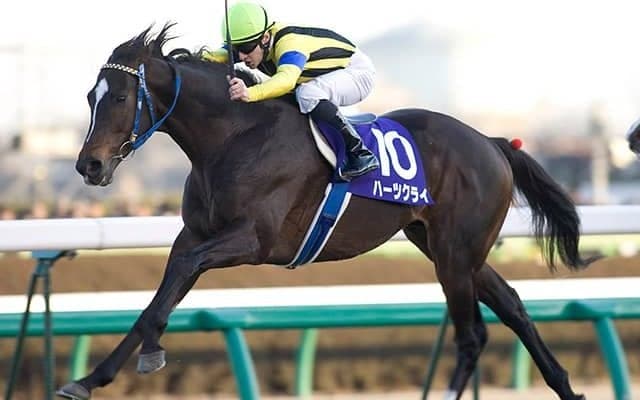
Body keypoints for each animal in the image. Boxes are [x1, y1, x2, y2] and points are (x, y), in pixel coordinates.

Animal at [59, 24, 596, 400]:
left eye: (121, 97)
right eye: (88, 97)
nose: (89, 165)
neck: (233, 137)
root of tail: (489, 141)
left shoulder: (252, 240)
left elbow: (176, 282)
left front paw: (148, 353)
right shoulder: (194, 235)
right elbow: (158, 299)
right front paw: (91, 377)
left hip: (454, 254)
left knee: (472, 335)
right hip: (448, 248)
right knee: (512, 305)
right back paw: (567, 386)